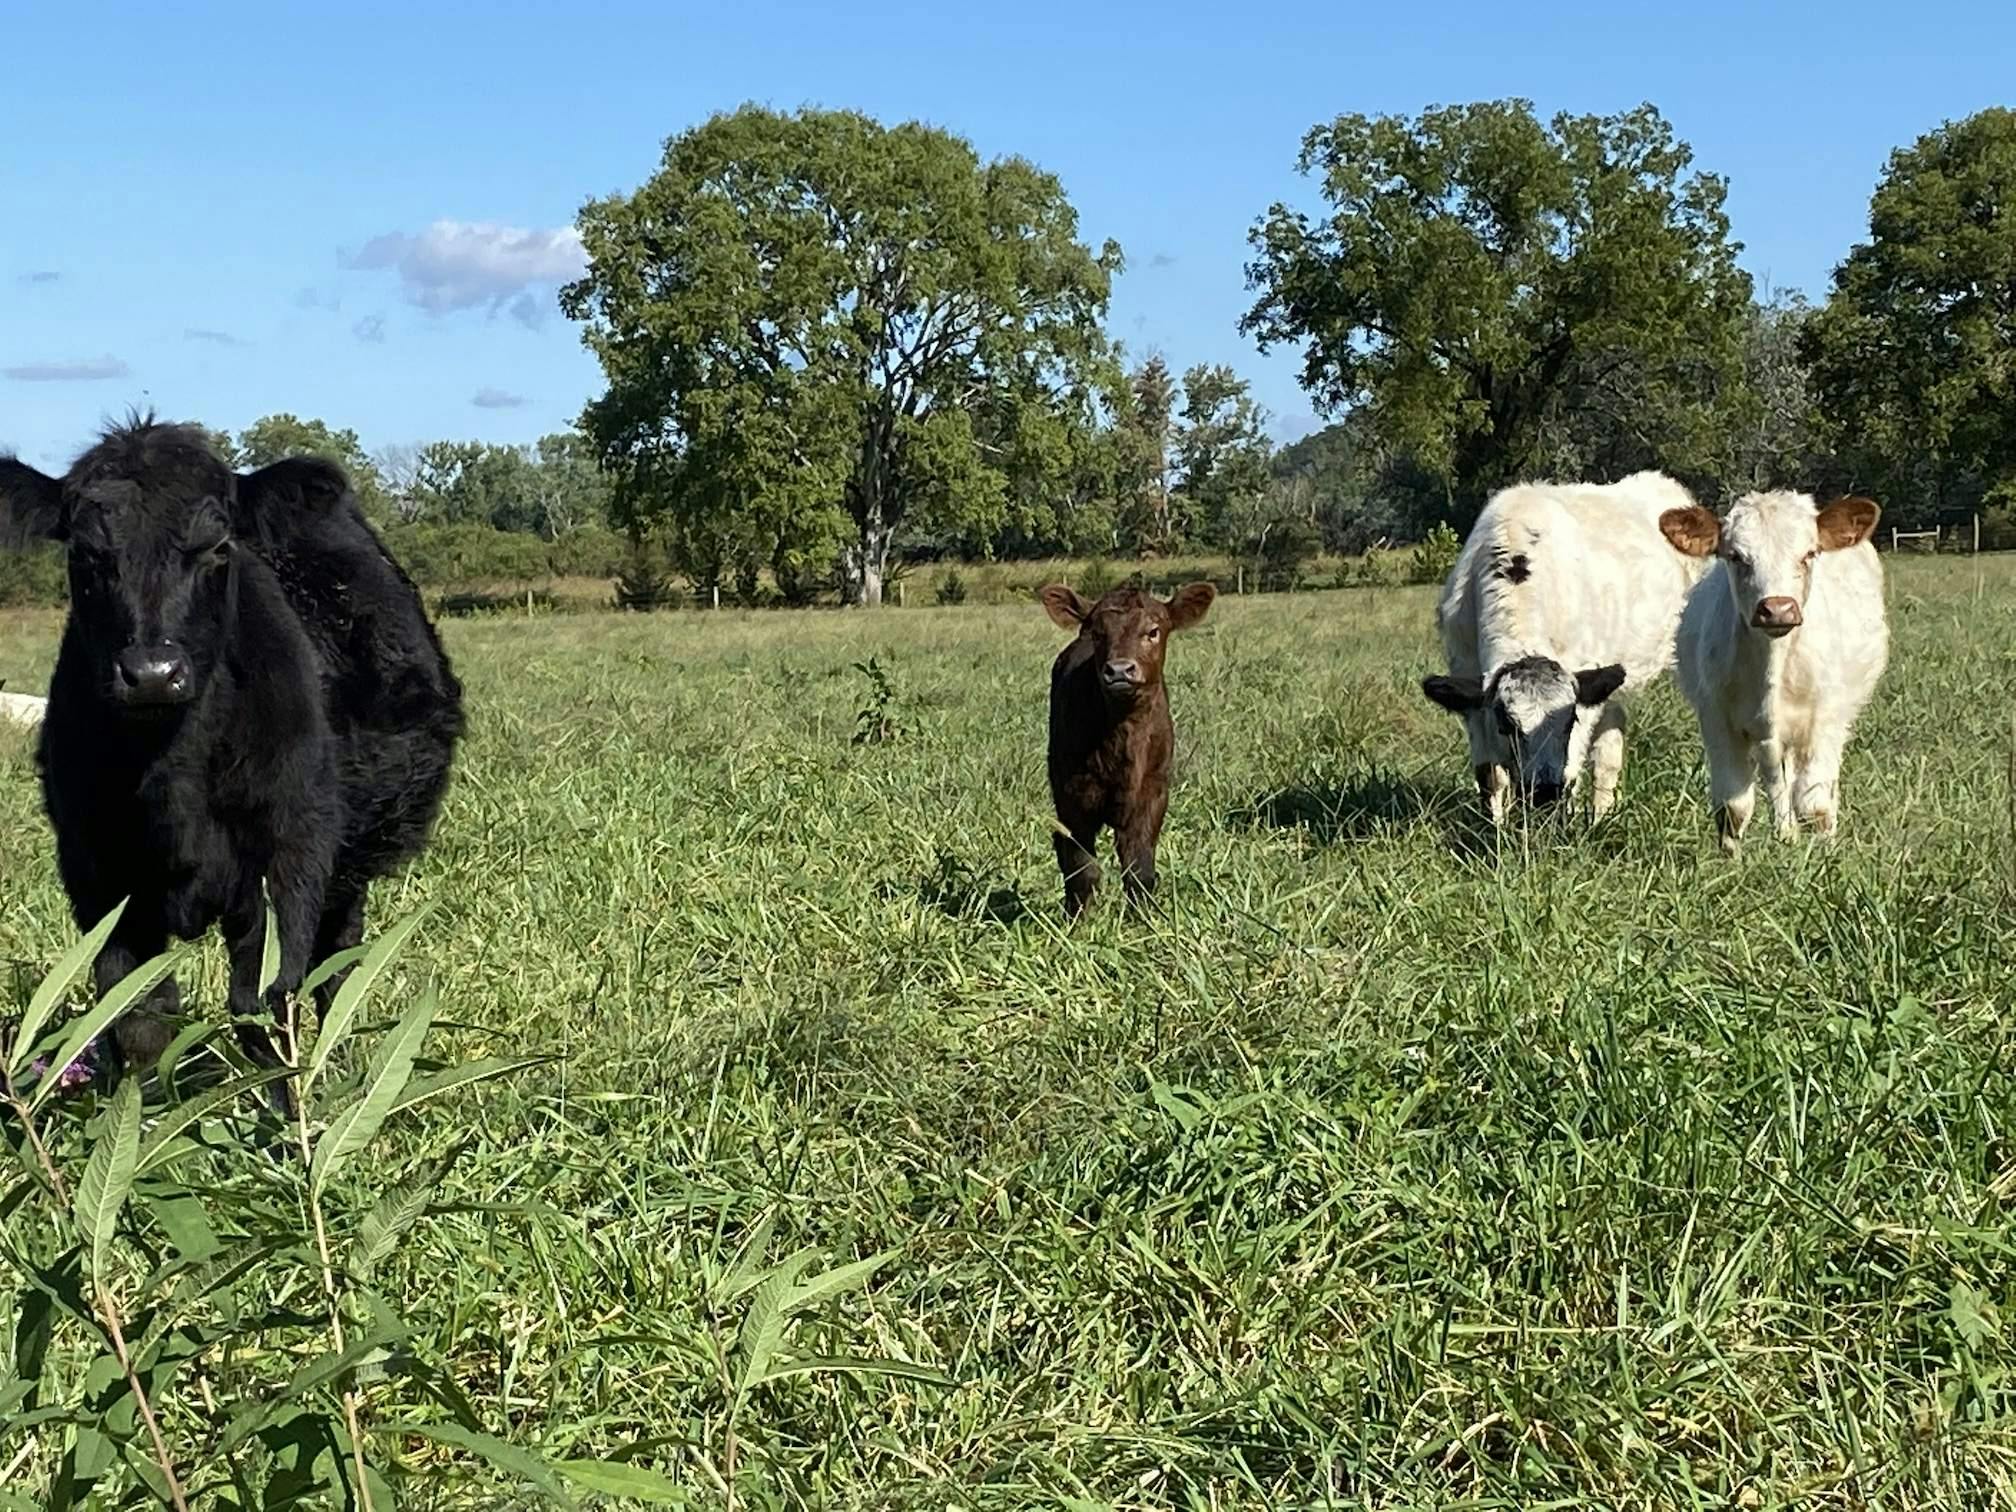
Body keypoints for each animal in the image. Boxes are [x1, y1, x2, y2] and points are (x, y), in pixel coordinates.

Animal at [0, 418, 464, 1105]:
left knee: (336, 966)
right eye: (85, 555)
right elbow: (137, 1017)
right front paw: (143, 1117)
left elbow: (264, 1005)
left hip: (350, 866)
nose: (152, 673)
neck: (170, 773)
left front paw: (284, 1121)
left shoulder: (288, 861)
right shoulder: (98, 874)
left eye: (218, 548)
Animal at [1039, 582, 1215, 917]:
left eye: (1153, 631)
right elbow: (1082, 866)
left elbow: (1139, 865)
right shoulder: (1073, 796)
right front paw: (1080, 921)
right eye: (1098, 634)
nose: (1120, 670)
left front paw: (1142, 919)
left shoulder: (1153, 792)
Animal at [1421, 471, 1708, 824]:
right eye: (1507, 724)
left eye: (1569, 721)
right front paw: (1495, 828)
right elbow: (1490, 777)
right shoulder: (1468, 683)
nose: (1544, 792)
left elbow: (1571, 768)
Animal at [1658, 490, 1887, 854]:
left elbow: (1816, 805)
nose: (1777, 609)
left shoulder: (1826, 720)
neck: (1773, 662)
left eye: (1809, 553)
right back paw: (1786, 832)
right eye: (1736, 556)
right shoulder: (1716, 719)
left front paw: (1825, 857)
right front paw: (1733, 860)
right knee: (1779, 779)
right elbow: (1733, 808)